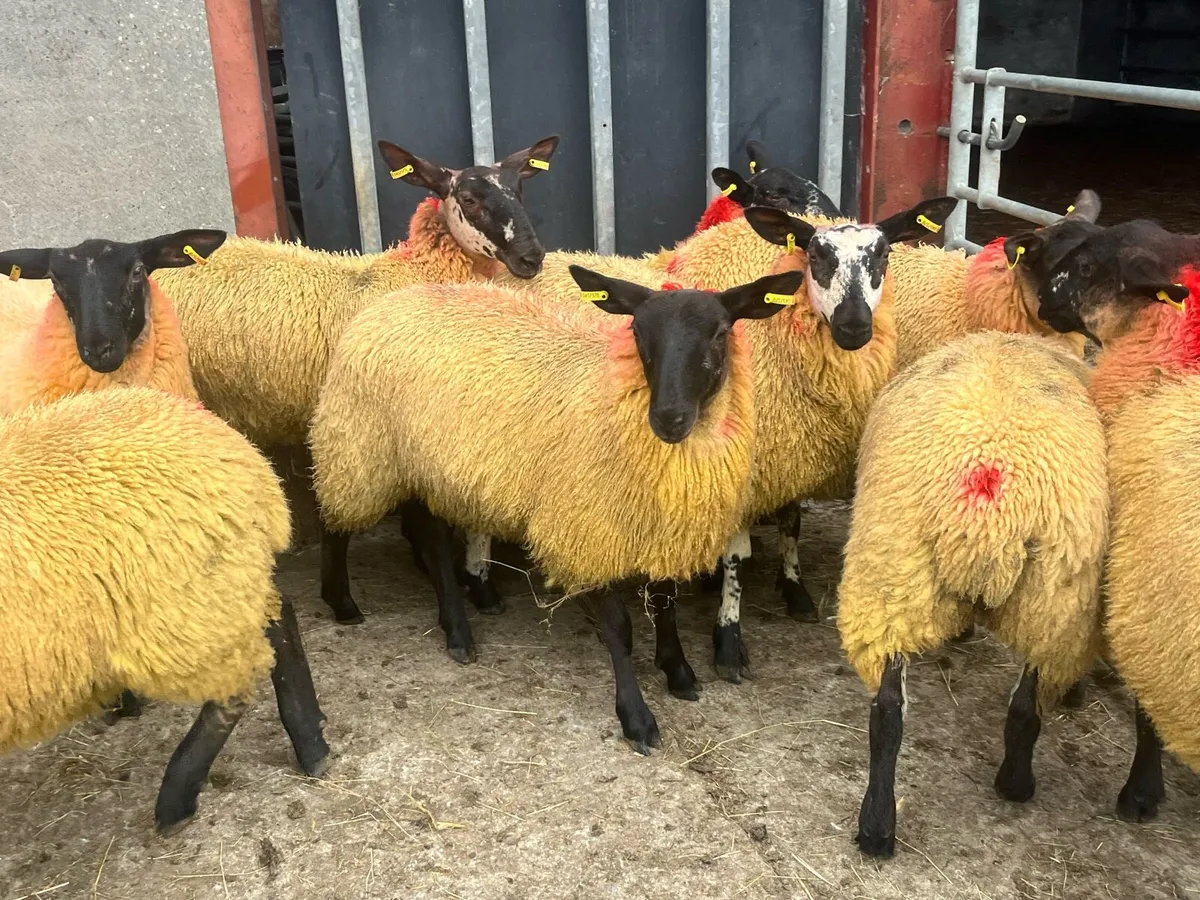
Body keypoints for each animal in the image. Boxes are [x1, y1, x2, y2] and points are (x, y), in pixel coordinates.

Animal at [0, 386, 329, 833]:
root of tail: (245, 456)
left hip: (181, 613)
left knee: (235, 688)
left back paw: (176, 800)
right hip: (216, 589)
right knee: (278, 619)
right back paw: (312, 743)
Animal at [310, 267, 804, 753]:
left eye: (721, 332)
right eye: (637, 331)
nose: (668, 418)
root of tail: (389, 301)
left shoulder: (662, 525)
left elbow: (666, 604)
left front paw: (678, 671)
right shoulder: (588, 529)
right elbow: (619, 629)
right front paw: (637, 719)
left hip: (423, 465)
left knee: (428, 539)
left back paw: (452, 624)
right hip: (361, 444)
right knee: (335, 519)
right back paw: (351, 603)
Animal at [837, 331, 1109, 859]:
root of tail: (989, 495)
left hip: (895, 570)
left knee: (888, 712)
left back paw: (877, 827)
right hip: (1054, 596)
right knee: (1023, 702)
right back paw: (1015, 784)